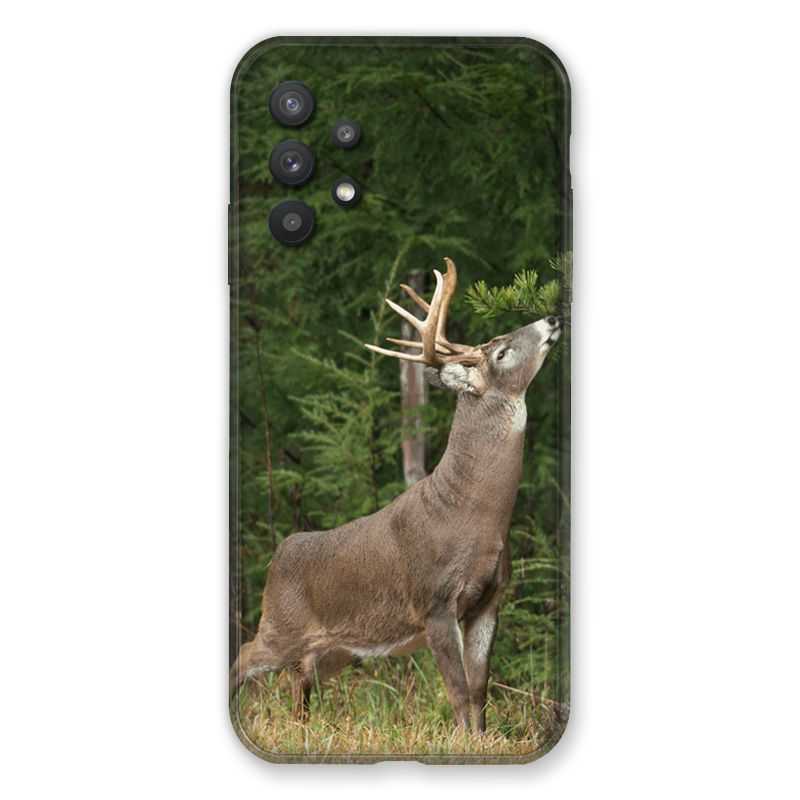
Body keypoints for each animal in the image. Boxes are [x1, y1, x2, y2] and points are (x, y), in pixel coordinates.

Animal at [232, 257, 561, 732]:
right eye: (501, 352)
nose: (553, 318)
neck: (474, 515)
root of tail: (278, 556)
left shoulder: (490, 600)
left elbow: (480, 690)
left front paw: (482, 740)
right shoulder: (435, 601)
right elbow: (458, 691)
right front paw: (463, 741)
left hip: (332, 650)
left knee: (299, 685)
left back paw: (303, 728)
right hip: (280, 624)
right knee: (244, 656)